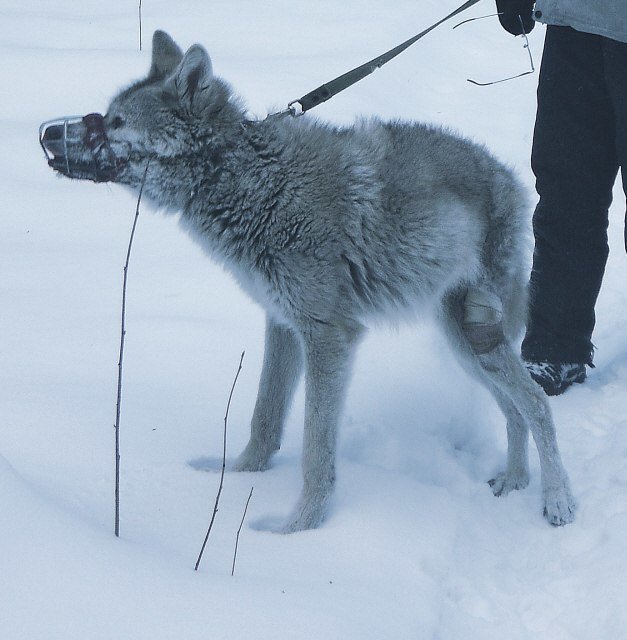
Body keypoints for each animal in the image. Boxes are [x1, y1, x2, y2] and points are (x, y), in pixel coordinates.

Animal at [40, 28, 580, 528]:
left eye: (116, 123)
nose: (46, 134)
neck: (254, 184)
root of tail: (510, 180)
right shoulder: (281, 324)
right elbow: (264, 418)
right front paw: (235, 478)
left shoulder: (330, 337)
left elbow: (316, 447)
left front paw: (297, 528)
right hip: (466, 345)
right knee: (513, 408)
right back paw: (514, 481)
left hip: (478, 336)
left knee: (536, 403)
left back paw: (557, 501)